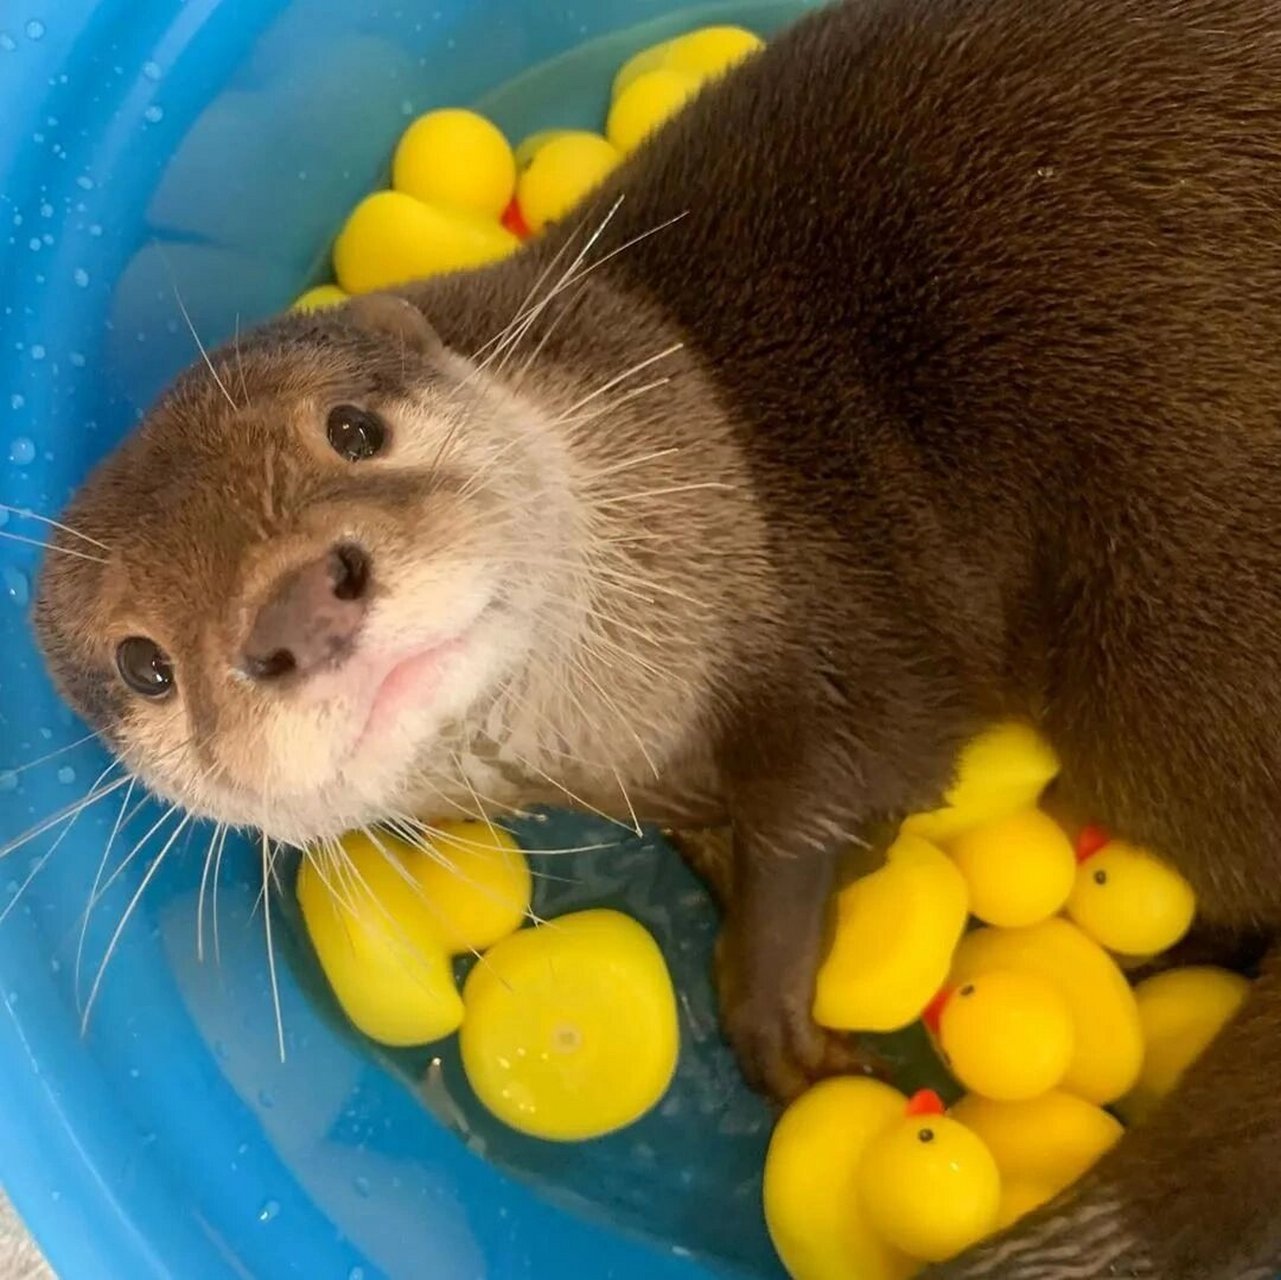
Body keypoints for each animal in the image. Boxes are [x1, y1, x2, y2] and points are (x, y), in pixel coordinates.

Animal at [27, 0, 1281, 1276]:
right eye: (144, 662)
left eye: (354, 427)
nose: (294, 609)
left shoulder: (851, 622)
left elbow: (841, 780)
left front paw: (776, 1005)